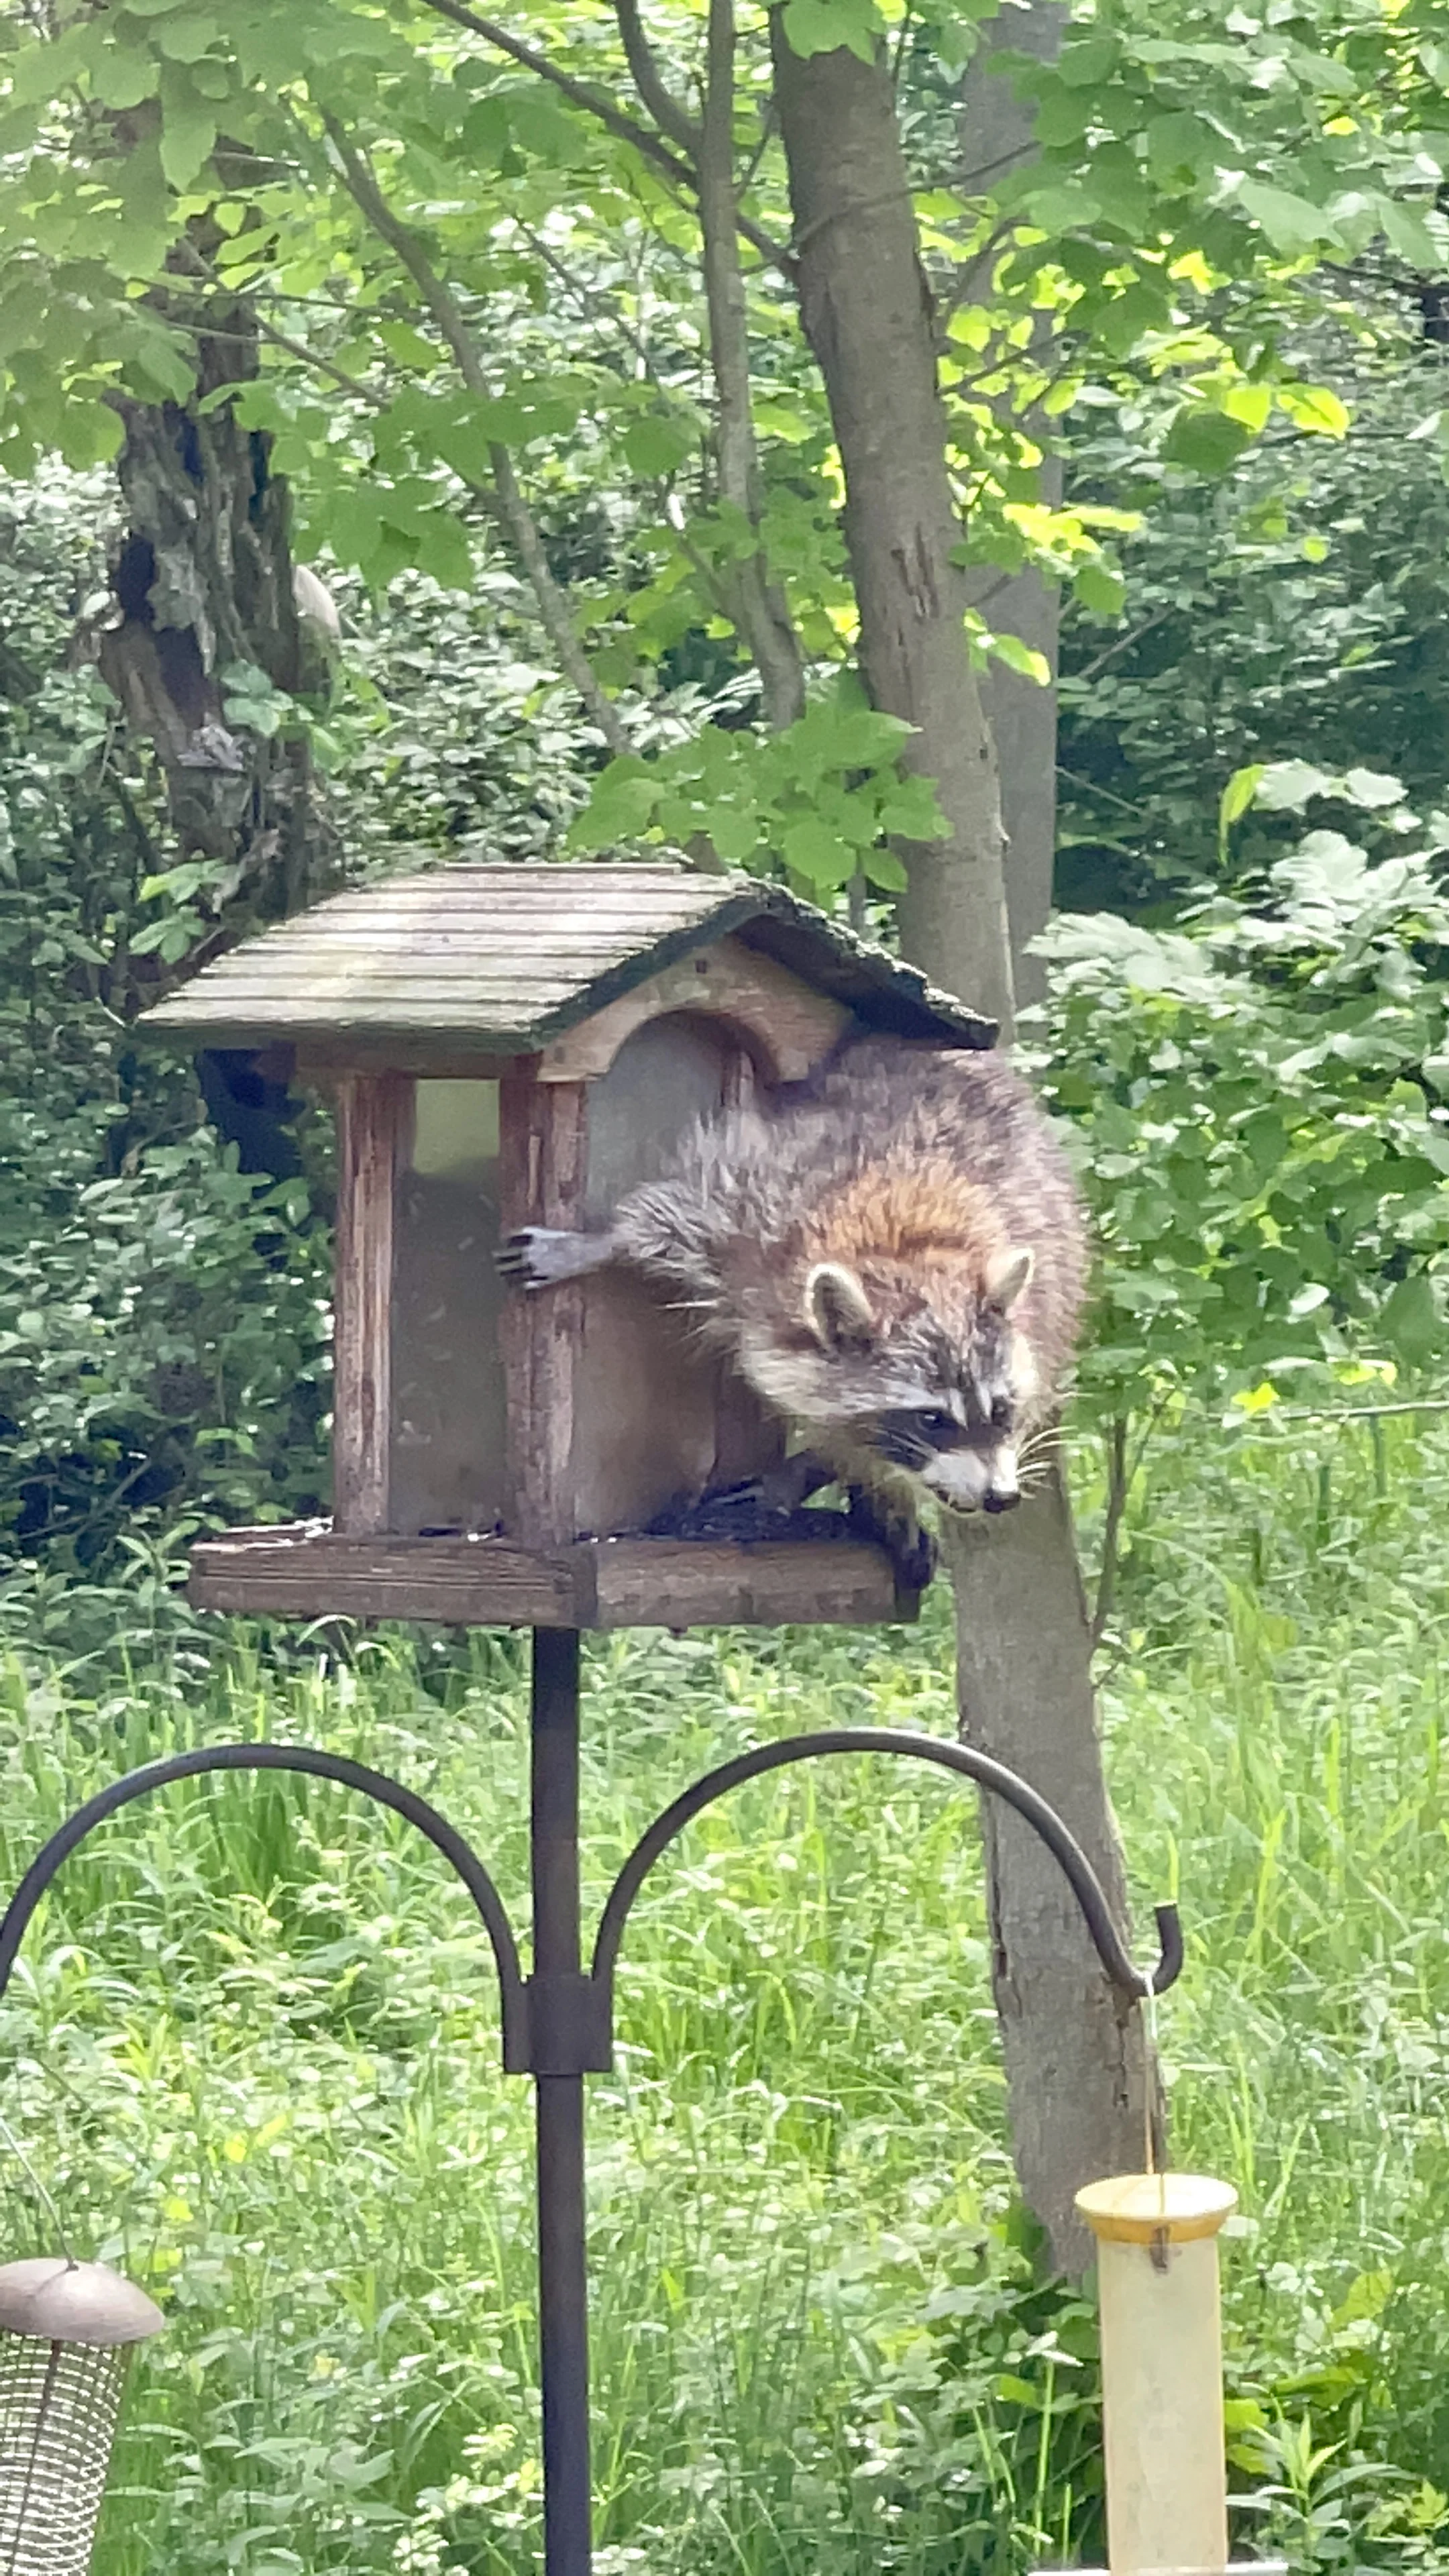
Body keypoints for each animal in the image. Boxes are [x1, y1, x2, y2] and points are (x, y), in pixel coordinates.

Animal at [496, 1033, 1087, 1581]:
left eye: (1002, 1410)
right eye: (931, 1419)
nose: (1000, 1497)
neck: (910, 1256)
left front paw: (838, 1476)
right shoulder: (758, 1210)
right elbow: (672, 1215)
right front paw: (601, 1244)